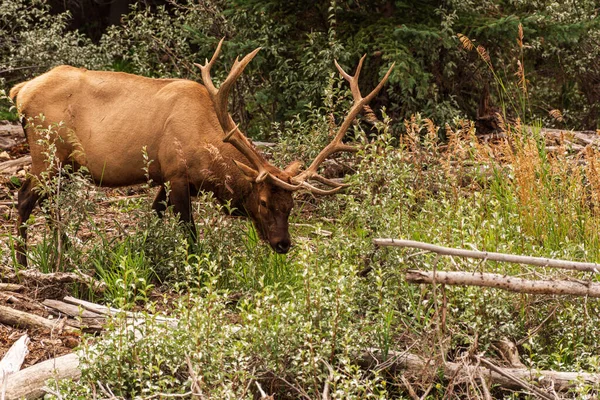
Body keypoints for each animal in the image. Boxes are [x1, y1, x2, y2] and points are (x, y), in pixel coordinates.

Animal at [10, 39, 394, 266]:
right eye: (264, 202)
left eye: (291, 205)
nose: (283, 244)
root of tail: (20, 91)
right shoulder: (177, 174)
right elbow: (190, 234)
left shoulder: (167, 180)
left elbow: (155, 216)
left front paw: (146, 252)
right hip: (45, 151)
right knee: (25, 198)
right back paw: (23, 262)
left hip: (66, 163)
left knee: (51, 204)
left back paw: (64, 252)